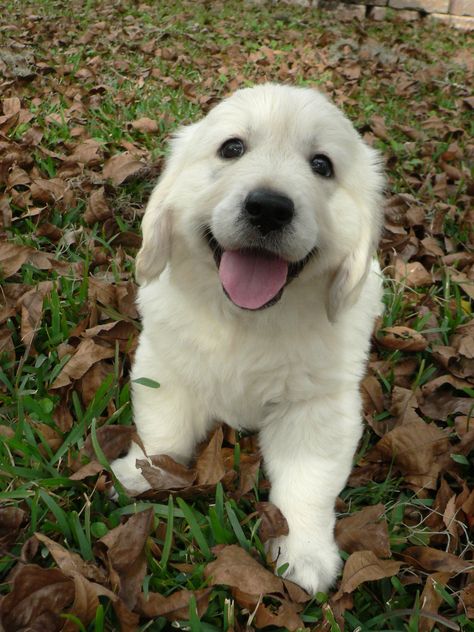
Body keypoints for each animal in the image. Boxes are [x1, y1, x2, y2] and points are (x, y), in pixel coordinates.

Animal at [111, 82, 386, 592]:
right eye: (232, 148)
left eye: (322, 165)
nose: (269, 208)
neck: (246, 322)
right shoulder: (164, 367)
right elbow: (163, 430)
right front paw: (141, 474)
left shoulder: (318, 408)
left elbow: (307, 480)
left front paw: (304, 553)